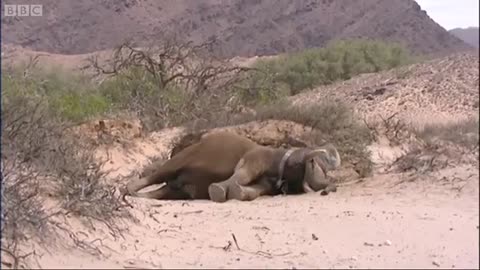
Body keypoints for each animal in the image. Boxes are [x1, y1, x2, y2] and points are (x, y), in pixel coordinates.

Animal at [124, 131, 342, 202]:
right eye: (317, 163)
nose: (329, 189)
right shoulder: (256, 157)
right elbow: (242, 174)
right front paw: (218, 191)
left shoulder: (269, 185)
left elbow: (254, 191)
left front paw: (237, 193)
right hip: (180, 158)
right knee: (155, 175)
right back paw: (127, 190)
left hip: (175, 189)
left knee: (161, 191)